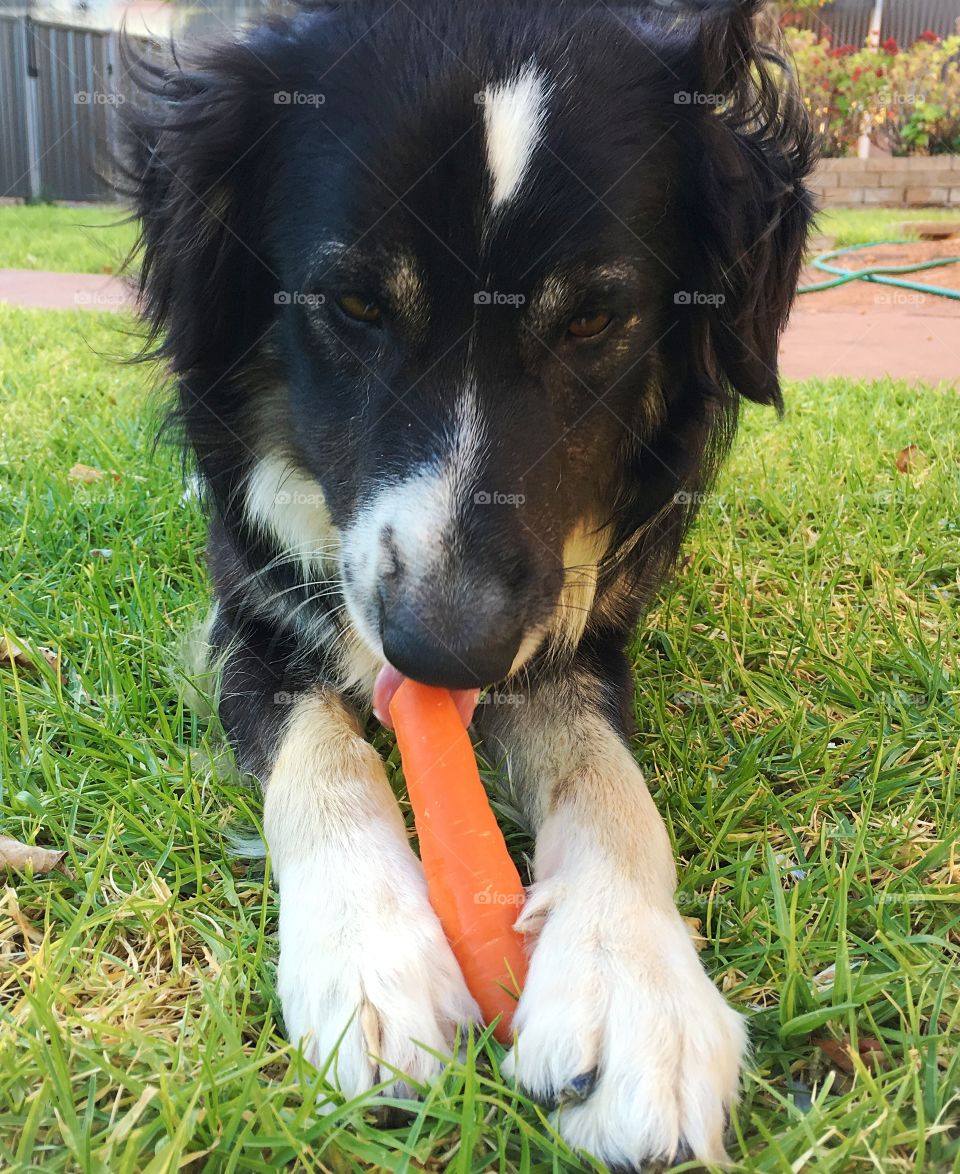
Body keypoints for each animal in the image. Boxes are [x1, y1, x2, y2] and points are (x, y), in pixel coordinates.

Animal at [123, 2, 812, 1164]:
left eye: (594, 321)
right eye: (353, 303)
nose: (446, 651)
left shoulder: (574, 632)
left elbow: (608, 780)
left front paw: (634, 986)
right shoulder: (249, 620)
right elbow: (320, 755)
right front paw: (369, 967)